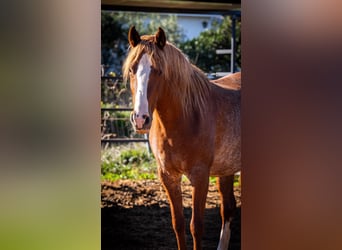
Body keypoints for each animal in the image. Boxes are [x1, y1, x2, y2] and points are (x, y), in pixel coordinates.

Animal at [123, 26, 240, 249]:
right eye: (132, 70)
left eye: (159, 71)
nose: (140, 119)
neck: (186, 118)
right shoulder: (168, 177)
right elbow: (178, 223)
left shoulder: (200, 177)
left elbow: (197, 226)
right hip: (227, 170)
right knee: (228, 209)